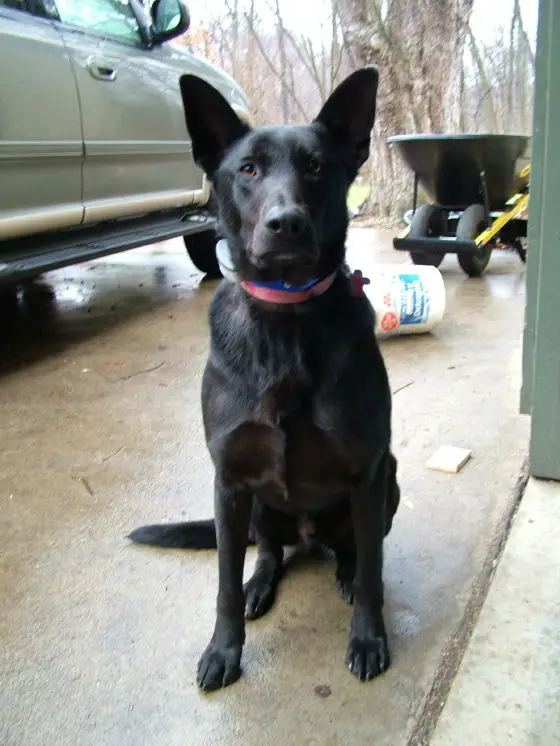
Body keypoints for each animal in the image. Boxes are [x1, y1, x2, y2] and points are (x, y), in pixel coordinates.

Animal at [128, 68, 398, 692]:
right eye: (247, 170)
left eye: (317, 167)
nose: (286, 224)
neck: (286, 317)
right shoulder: (229, 480)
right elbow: (224, 583)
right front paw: (223, 650)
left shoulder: (369, 471)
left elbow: (373, 573)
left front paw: (368, 637)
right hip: (255, 506)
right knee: (270, 551)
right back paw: (261, 583)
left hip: (389, 483)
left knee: (354, 551)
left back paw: (343, 571)